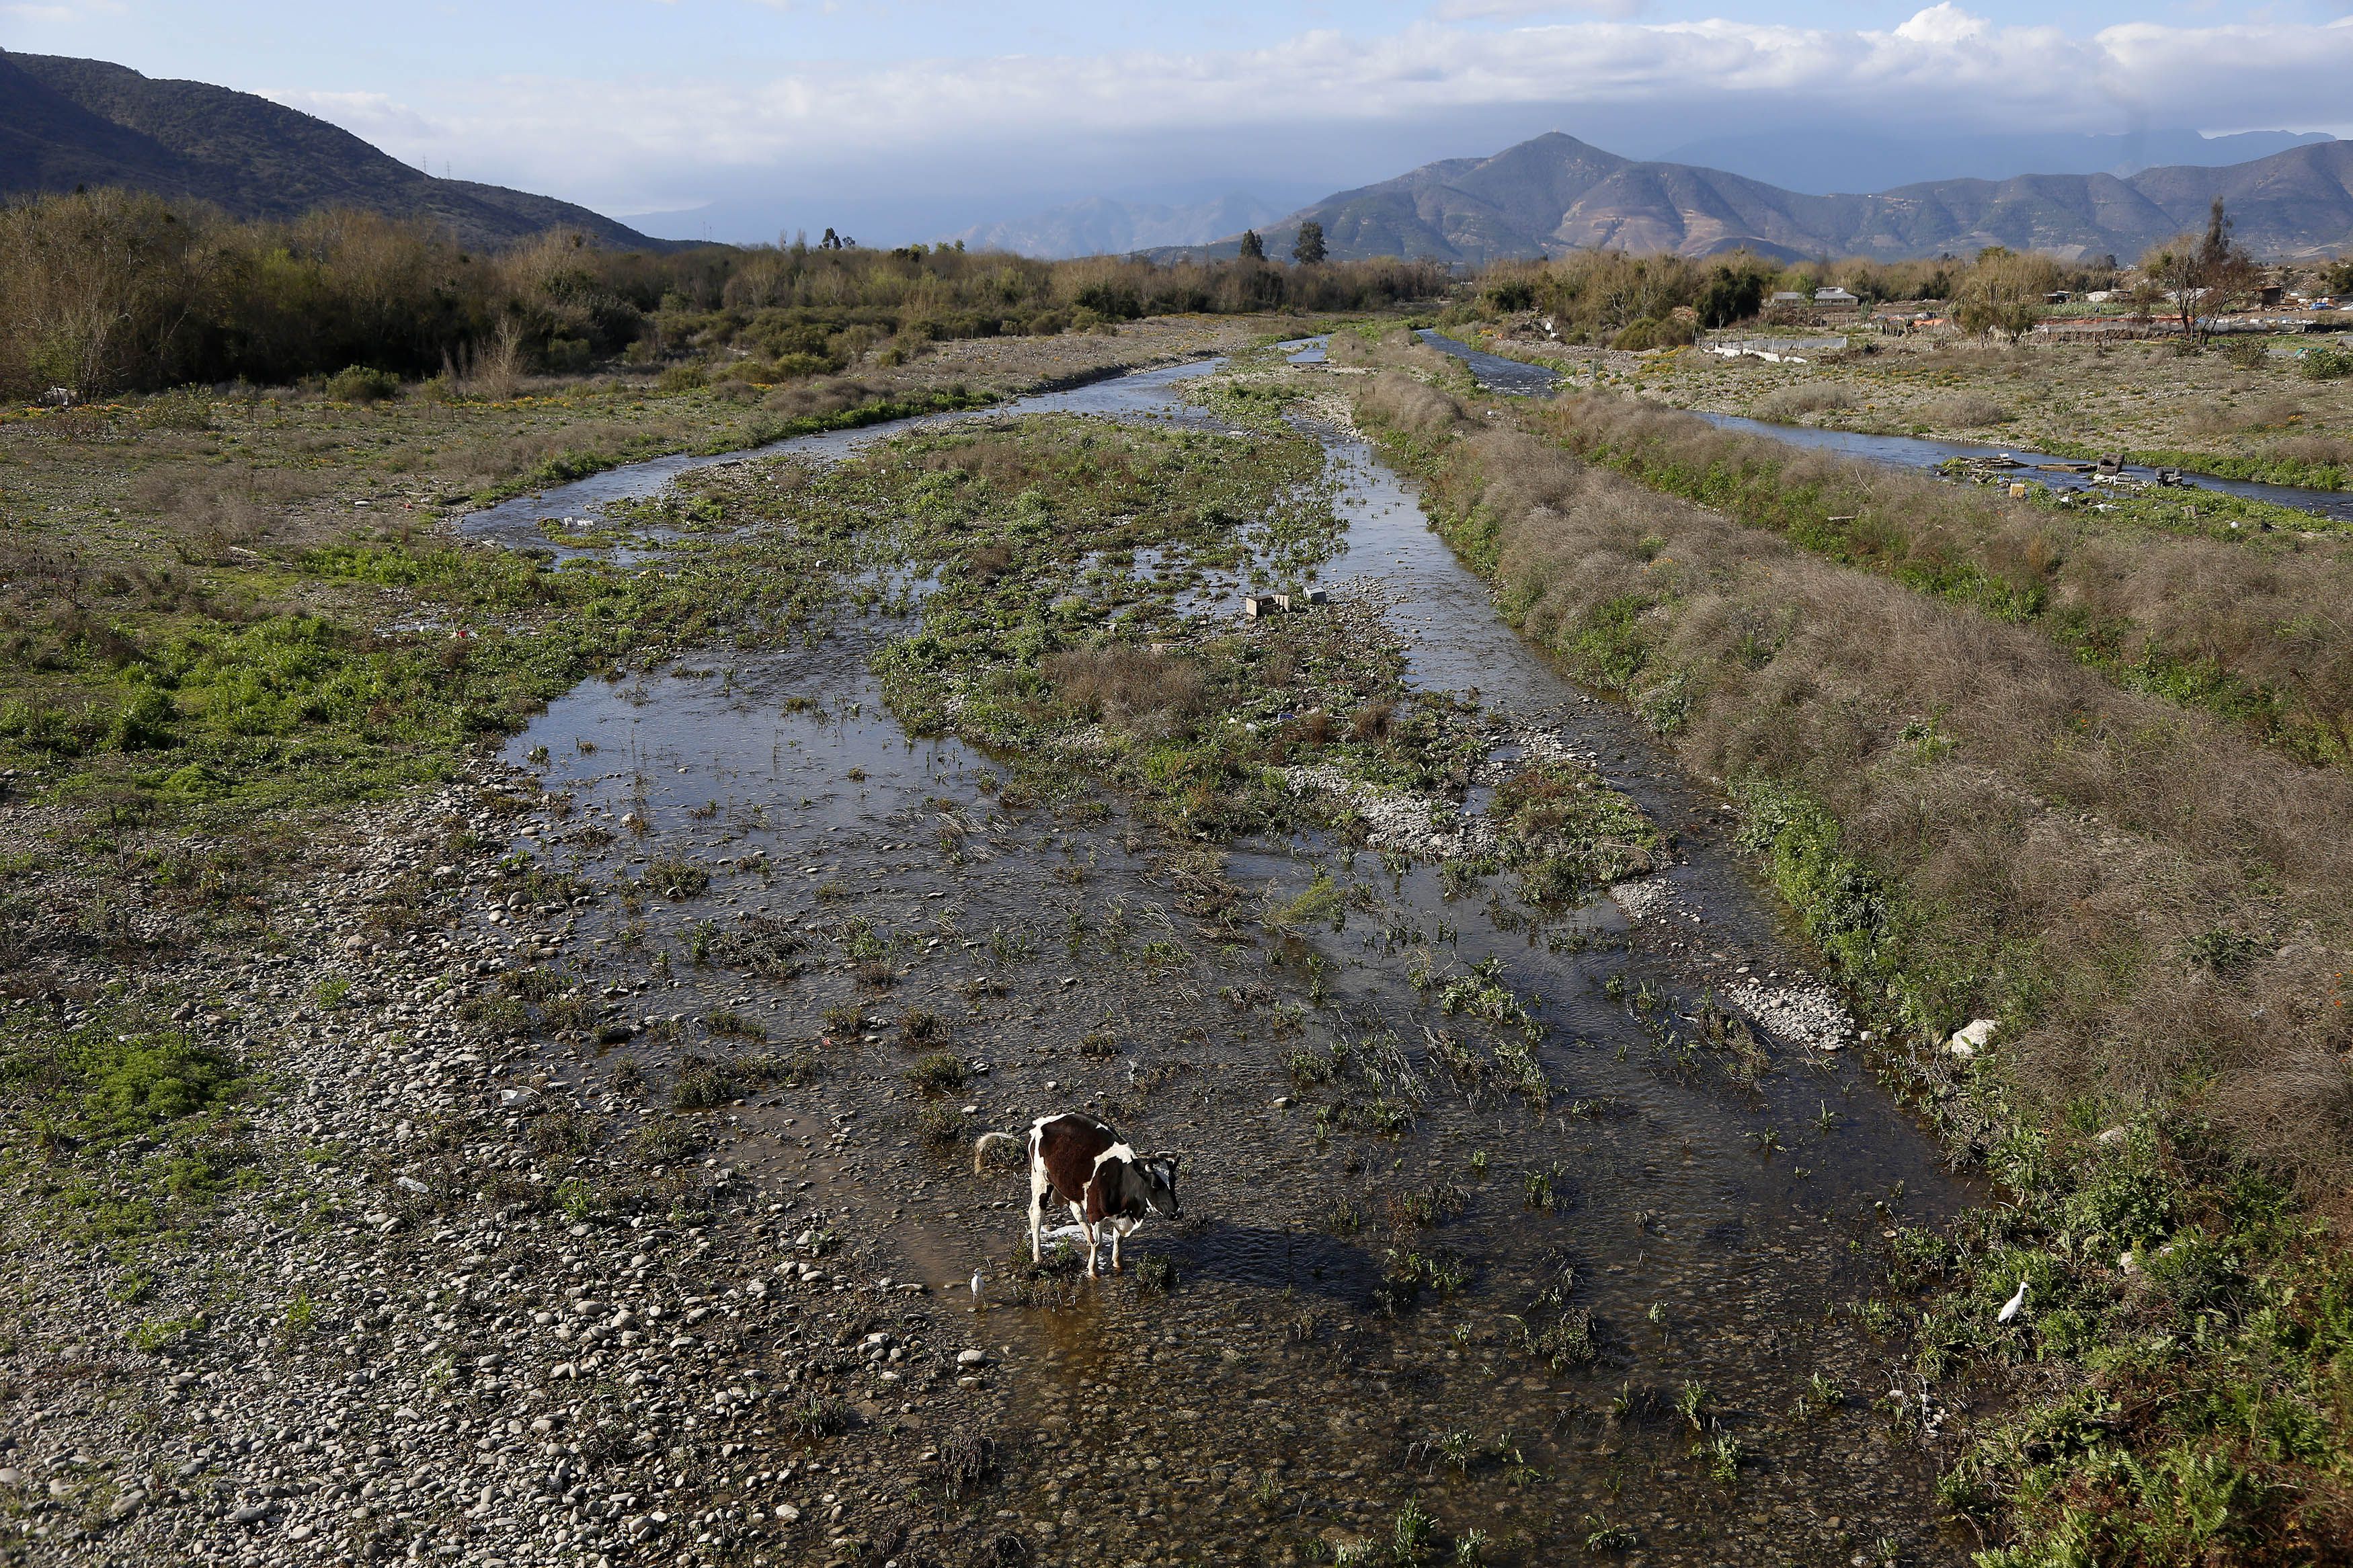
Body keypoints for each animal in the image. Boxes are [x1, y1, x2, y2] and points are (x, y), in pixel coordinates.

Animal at [974, 1109, 1186, 1278]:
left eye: (1174, 1181)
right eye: (1155, 1184)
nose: (1177, 1213)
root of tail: (1041, 1121)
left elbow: (1117, 1238)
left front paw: (1118, 1263)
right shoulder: (1096, 1212)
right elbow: (1099, 1242)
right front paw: (1093, 1270)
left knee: (1076, 1212)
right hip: (1040, 1180)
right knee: (1036, 1214)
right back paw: (1038, 1257)